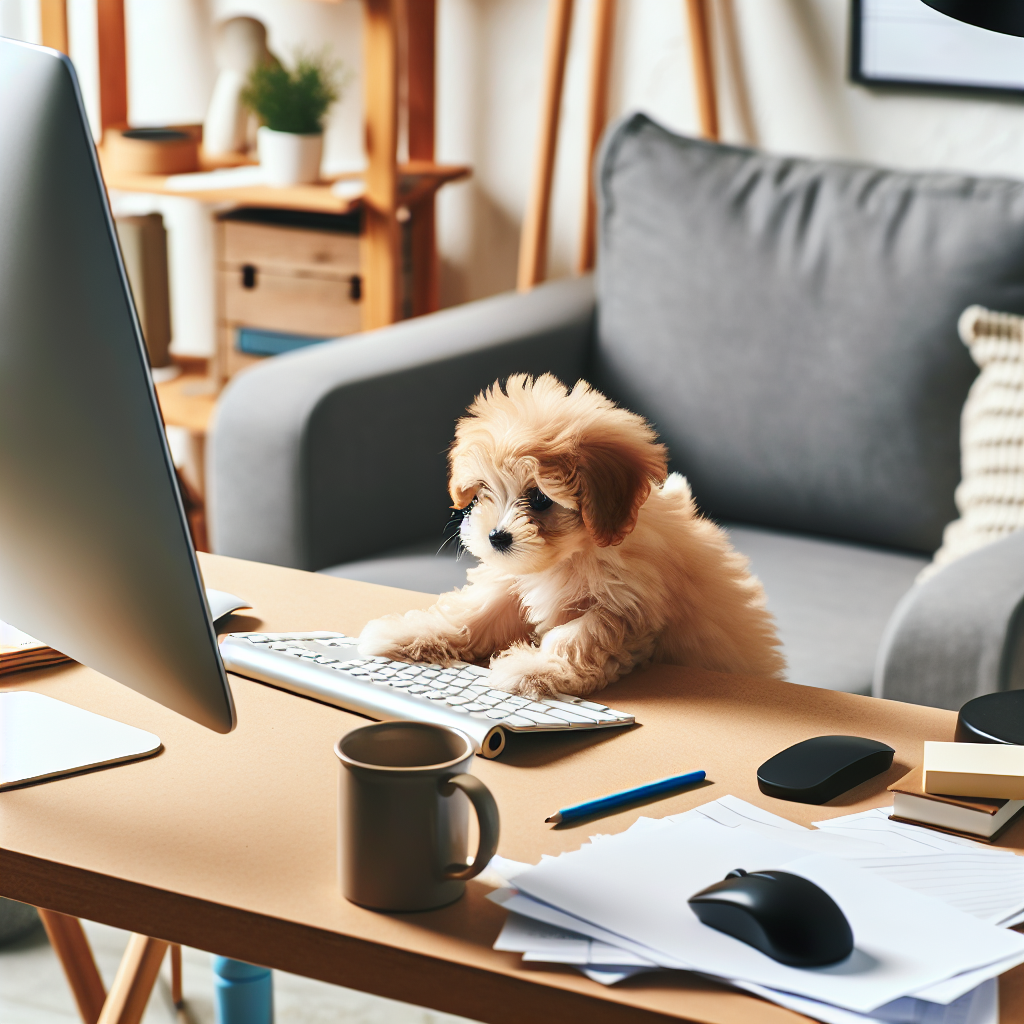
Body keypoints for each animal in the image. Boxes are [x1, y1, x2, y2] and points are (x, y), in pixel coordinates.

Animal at [360, 376, 782, 696]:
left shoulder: (627, 607)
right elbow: (477, 611)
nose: (496, 537)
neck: (575, 553)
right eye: (483, 491)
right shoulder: (513, 579)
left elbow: (579, 637)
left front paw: (534, 670)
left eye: (540, 498)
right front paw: (413, 633)